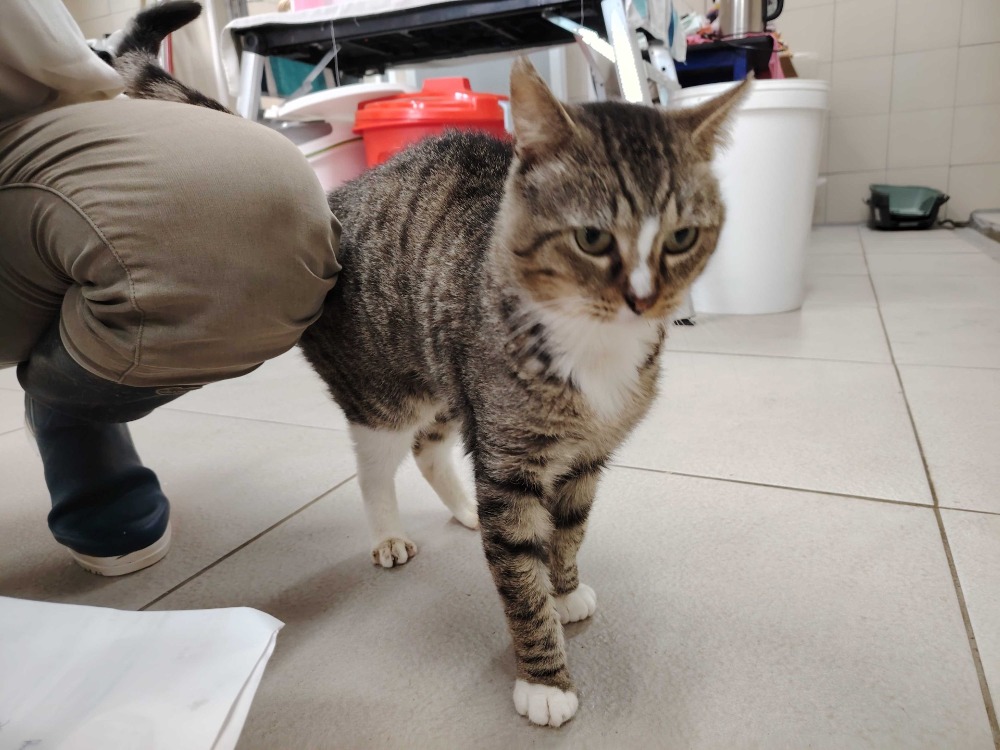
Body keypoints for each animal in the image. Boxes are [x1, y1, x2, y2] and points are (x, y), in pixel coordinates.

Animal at [110, 2, 748, 728]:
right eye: (591, 238)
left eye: (682, 238)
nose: (644, 299)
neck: (592, 349)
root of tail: (333, 203)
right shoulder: (509, 463)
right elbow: (517, 571)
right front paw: (544, 679)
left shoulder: (586, 458)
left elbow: (568, 532)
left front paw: (565, 590)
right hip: (383, 394)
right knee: (376, 467)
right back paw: (389, 534)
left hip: (447, 381)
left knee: (428, 450)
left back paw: (463, 509)